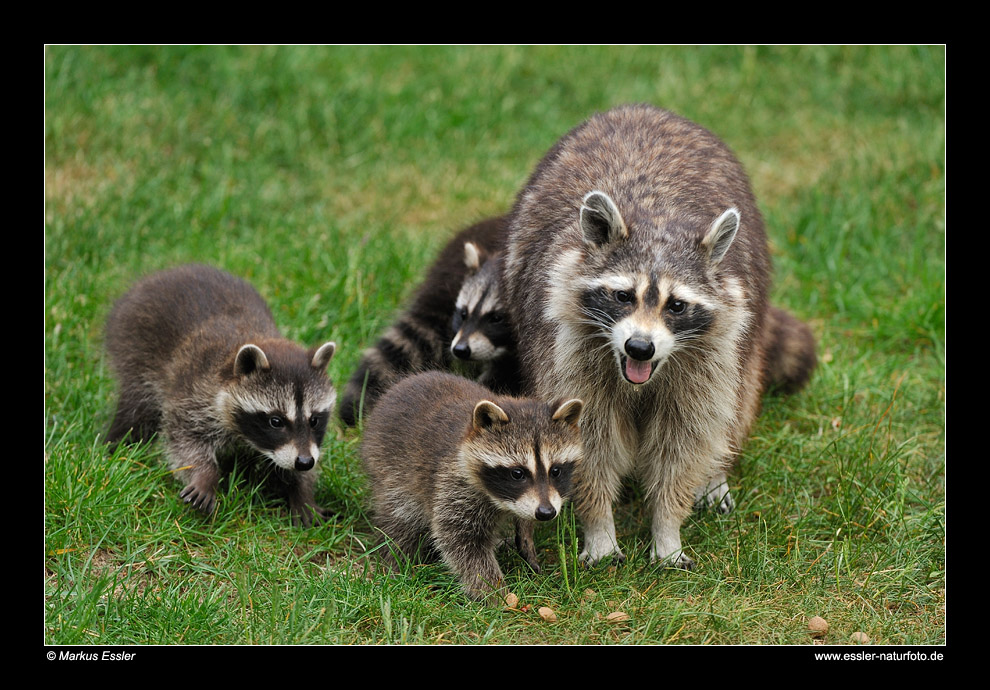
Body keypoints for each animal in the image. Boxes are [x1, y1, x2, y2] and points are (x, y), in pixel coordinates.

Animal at [104, 264, 338, 528]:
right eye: (276, 421)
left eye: (314, 420)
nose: (305, 462)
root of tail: (166, 272)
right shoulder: (193, 394)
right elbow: (184, 440)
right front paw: (205, 474)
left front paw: (302, 492)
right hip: (134, 349)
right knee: (136, 408)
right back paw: (118, 441)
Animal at [362, 368, 580, 600]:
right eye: (517, 473)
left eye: (555, 471)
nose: (546, 512)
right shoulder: (453, 484)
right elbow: (462, 541)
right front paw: (492, 590)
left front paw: (526, 537)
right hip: (390, 469)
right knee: (400, 518)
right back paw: (395, 559)